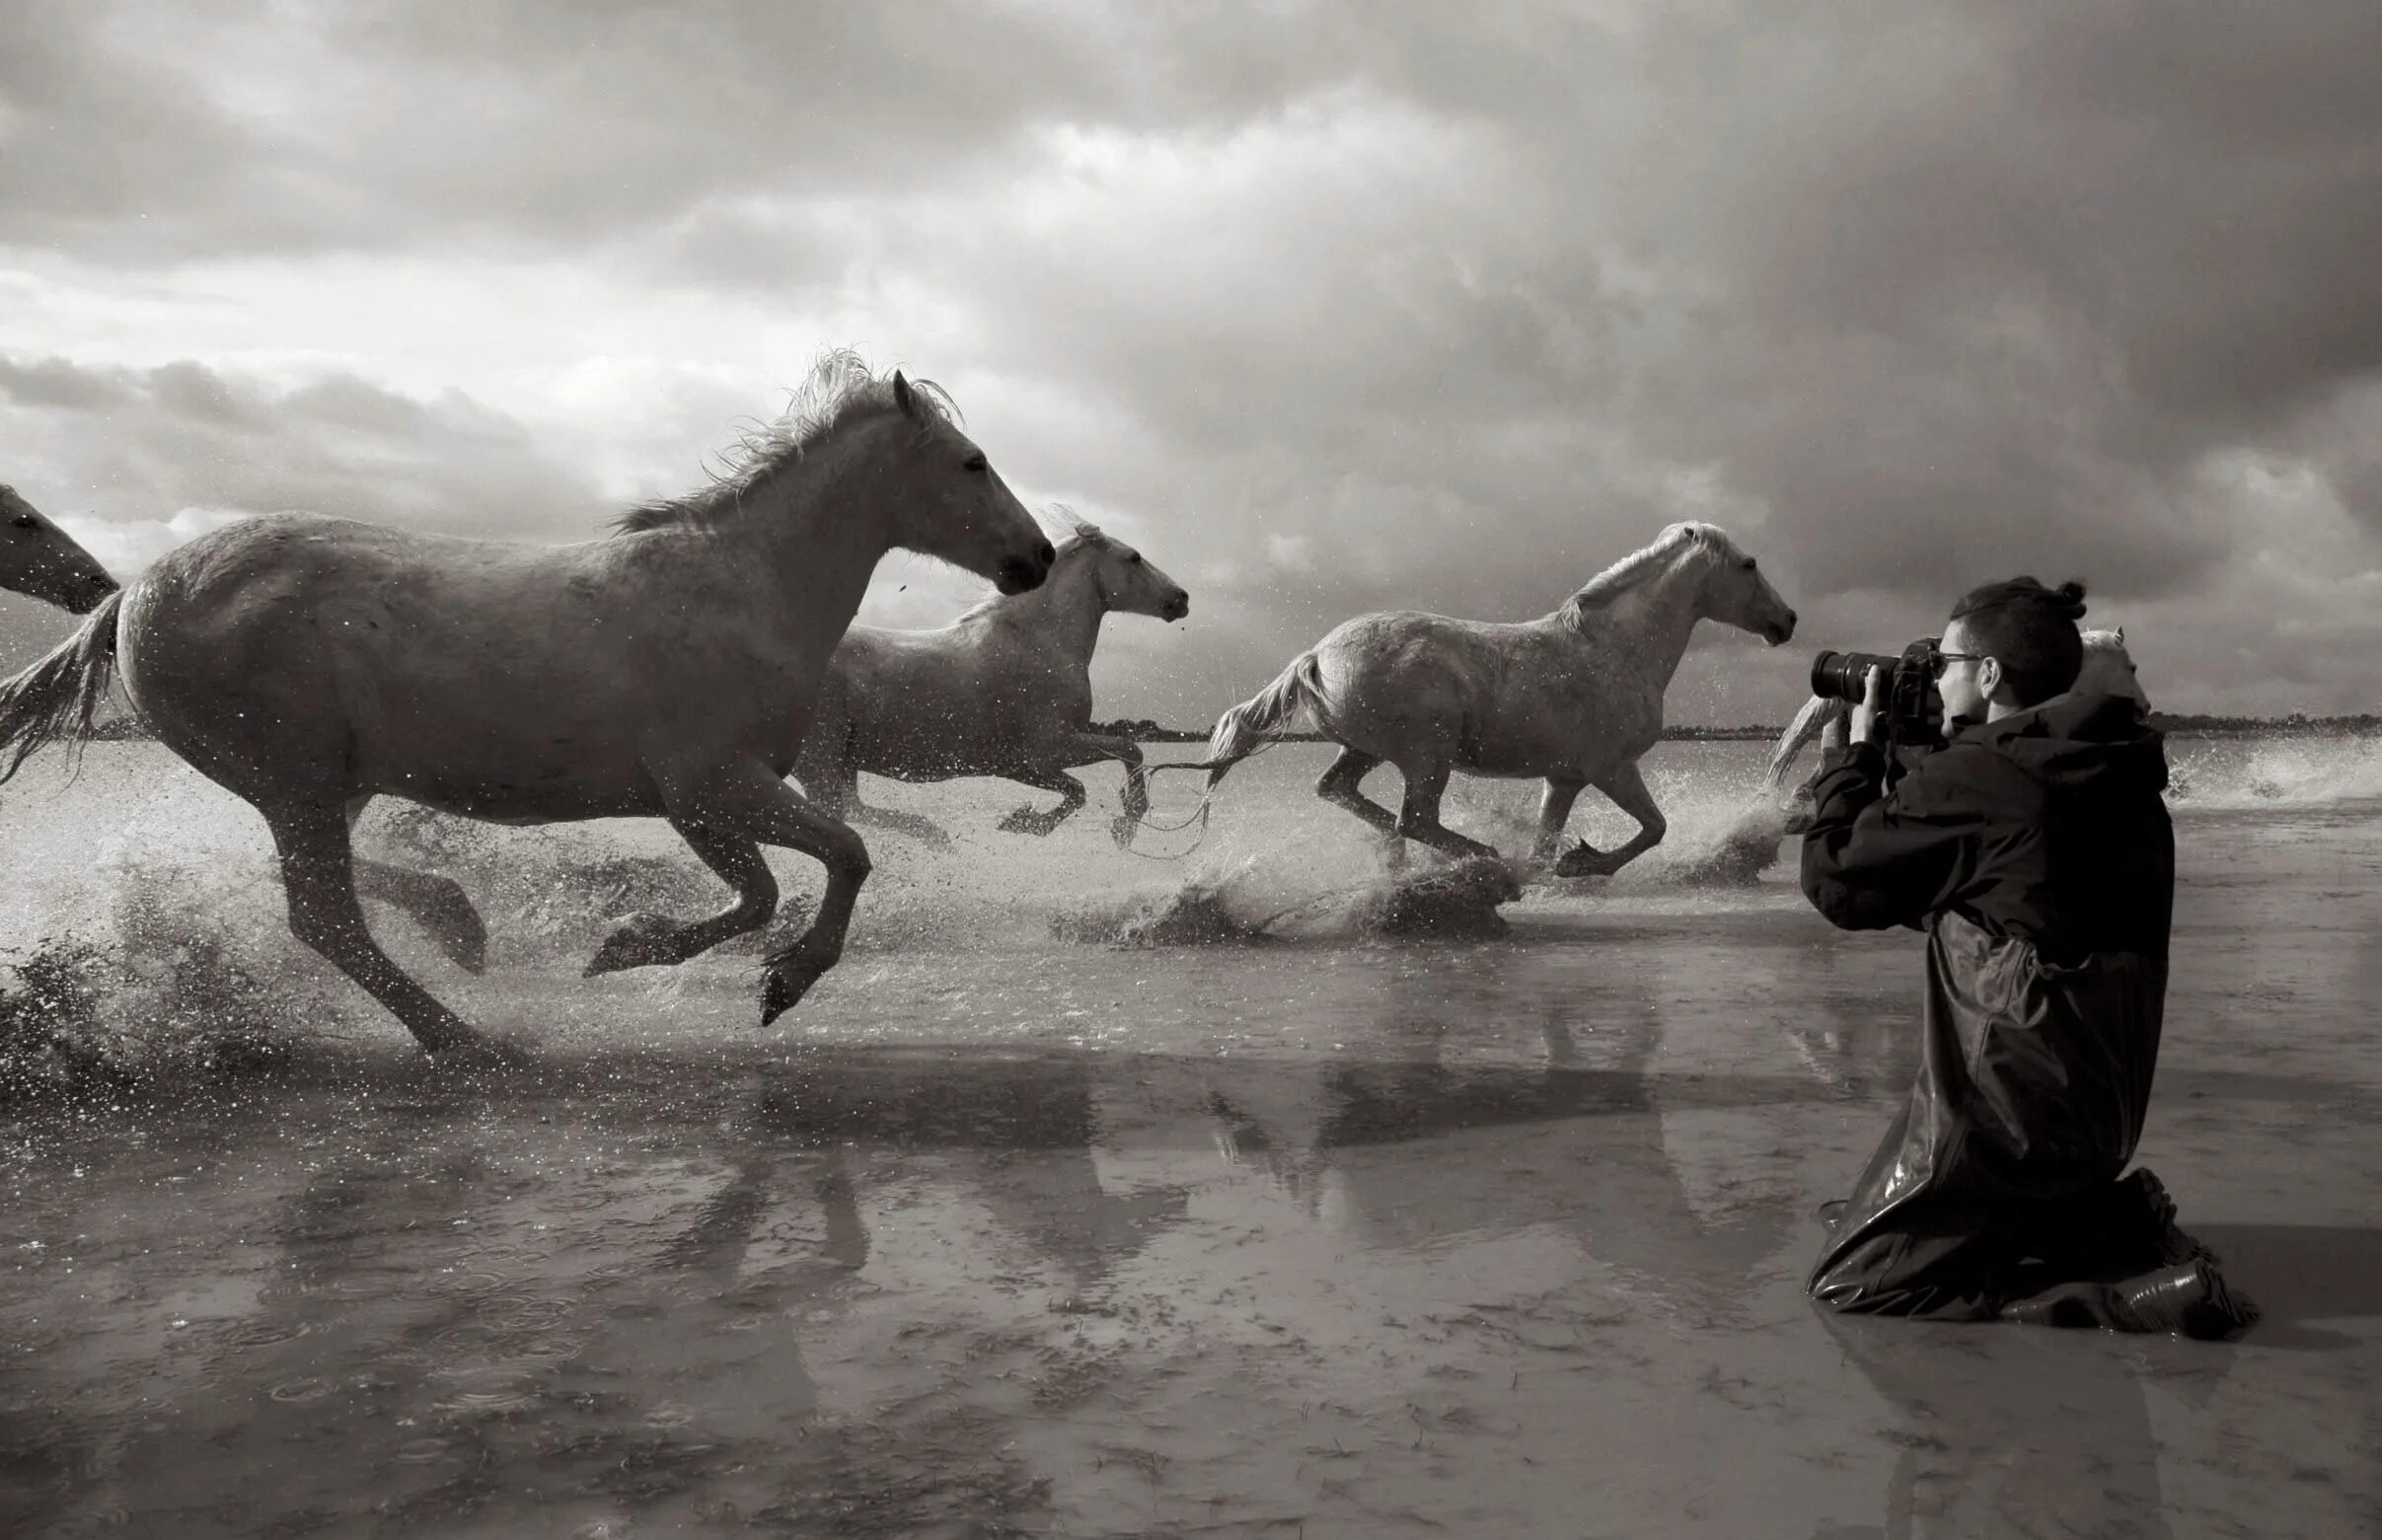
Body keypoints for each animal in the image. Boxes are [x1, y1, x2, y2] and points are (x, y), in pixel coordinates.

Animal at [790, 518, 1191, 856]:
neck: (1039, 643)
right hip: (820, 761)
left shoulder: (1019, 766)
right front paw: (1125, 824)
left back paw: (934, 835)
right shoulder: (1049, 749)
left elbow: (1078, 788)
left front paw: (1023, 821)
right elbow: (1126, 752)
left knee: (852, 811)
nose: (1181, 598)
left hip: (844, 762)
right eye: (1133, 557)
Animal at [1200, 521, 1791, 875]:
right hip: (1427, 757)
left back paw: (1406, 860)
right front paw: (1583, 864)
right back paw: (1482, 856)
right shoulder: (1612, 768)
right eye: (1749, 564)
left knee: (1340, 791)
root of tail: (1316, 656)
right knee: (1414, 819)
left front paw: (1559, 867)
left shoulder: (1565, 778)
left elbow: (1549, 842)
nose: (1787, 622)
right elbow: (1654, 829)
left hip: (1367, 749)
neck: (1615, 650)